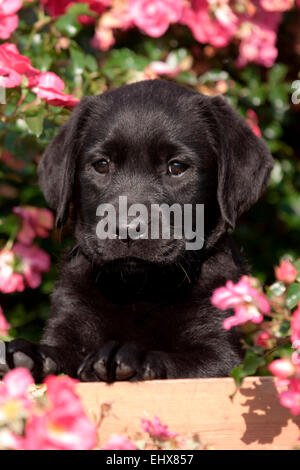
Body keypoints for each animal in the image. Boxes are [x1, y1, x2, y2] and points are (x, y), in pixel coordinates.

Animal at [4, 80, 274, 382]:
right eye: (101, 165)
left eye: (177, 167)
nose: (126, 229)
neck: (139, 289)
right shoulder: (71, 316)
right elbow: (61, 351)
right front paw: (31, 355)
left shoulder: (222, 355)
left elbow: (179, 361)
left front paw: (128, 357)